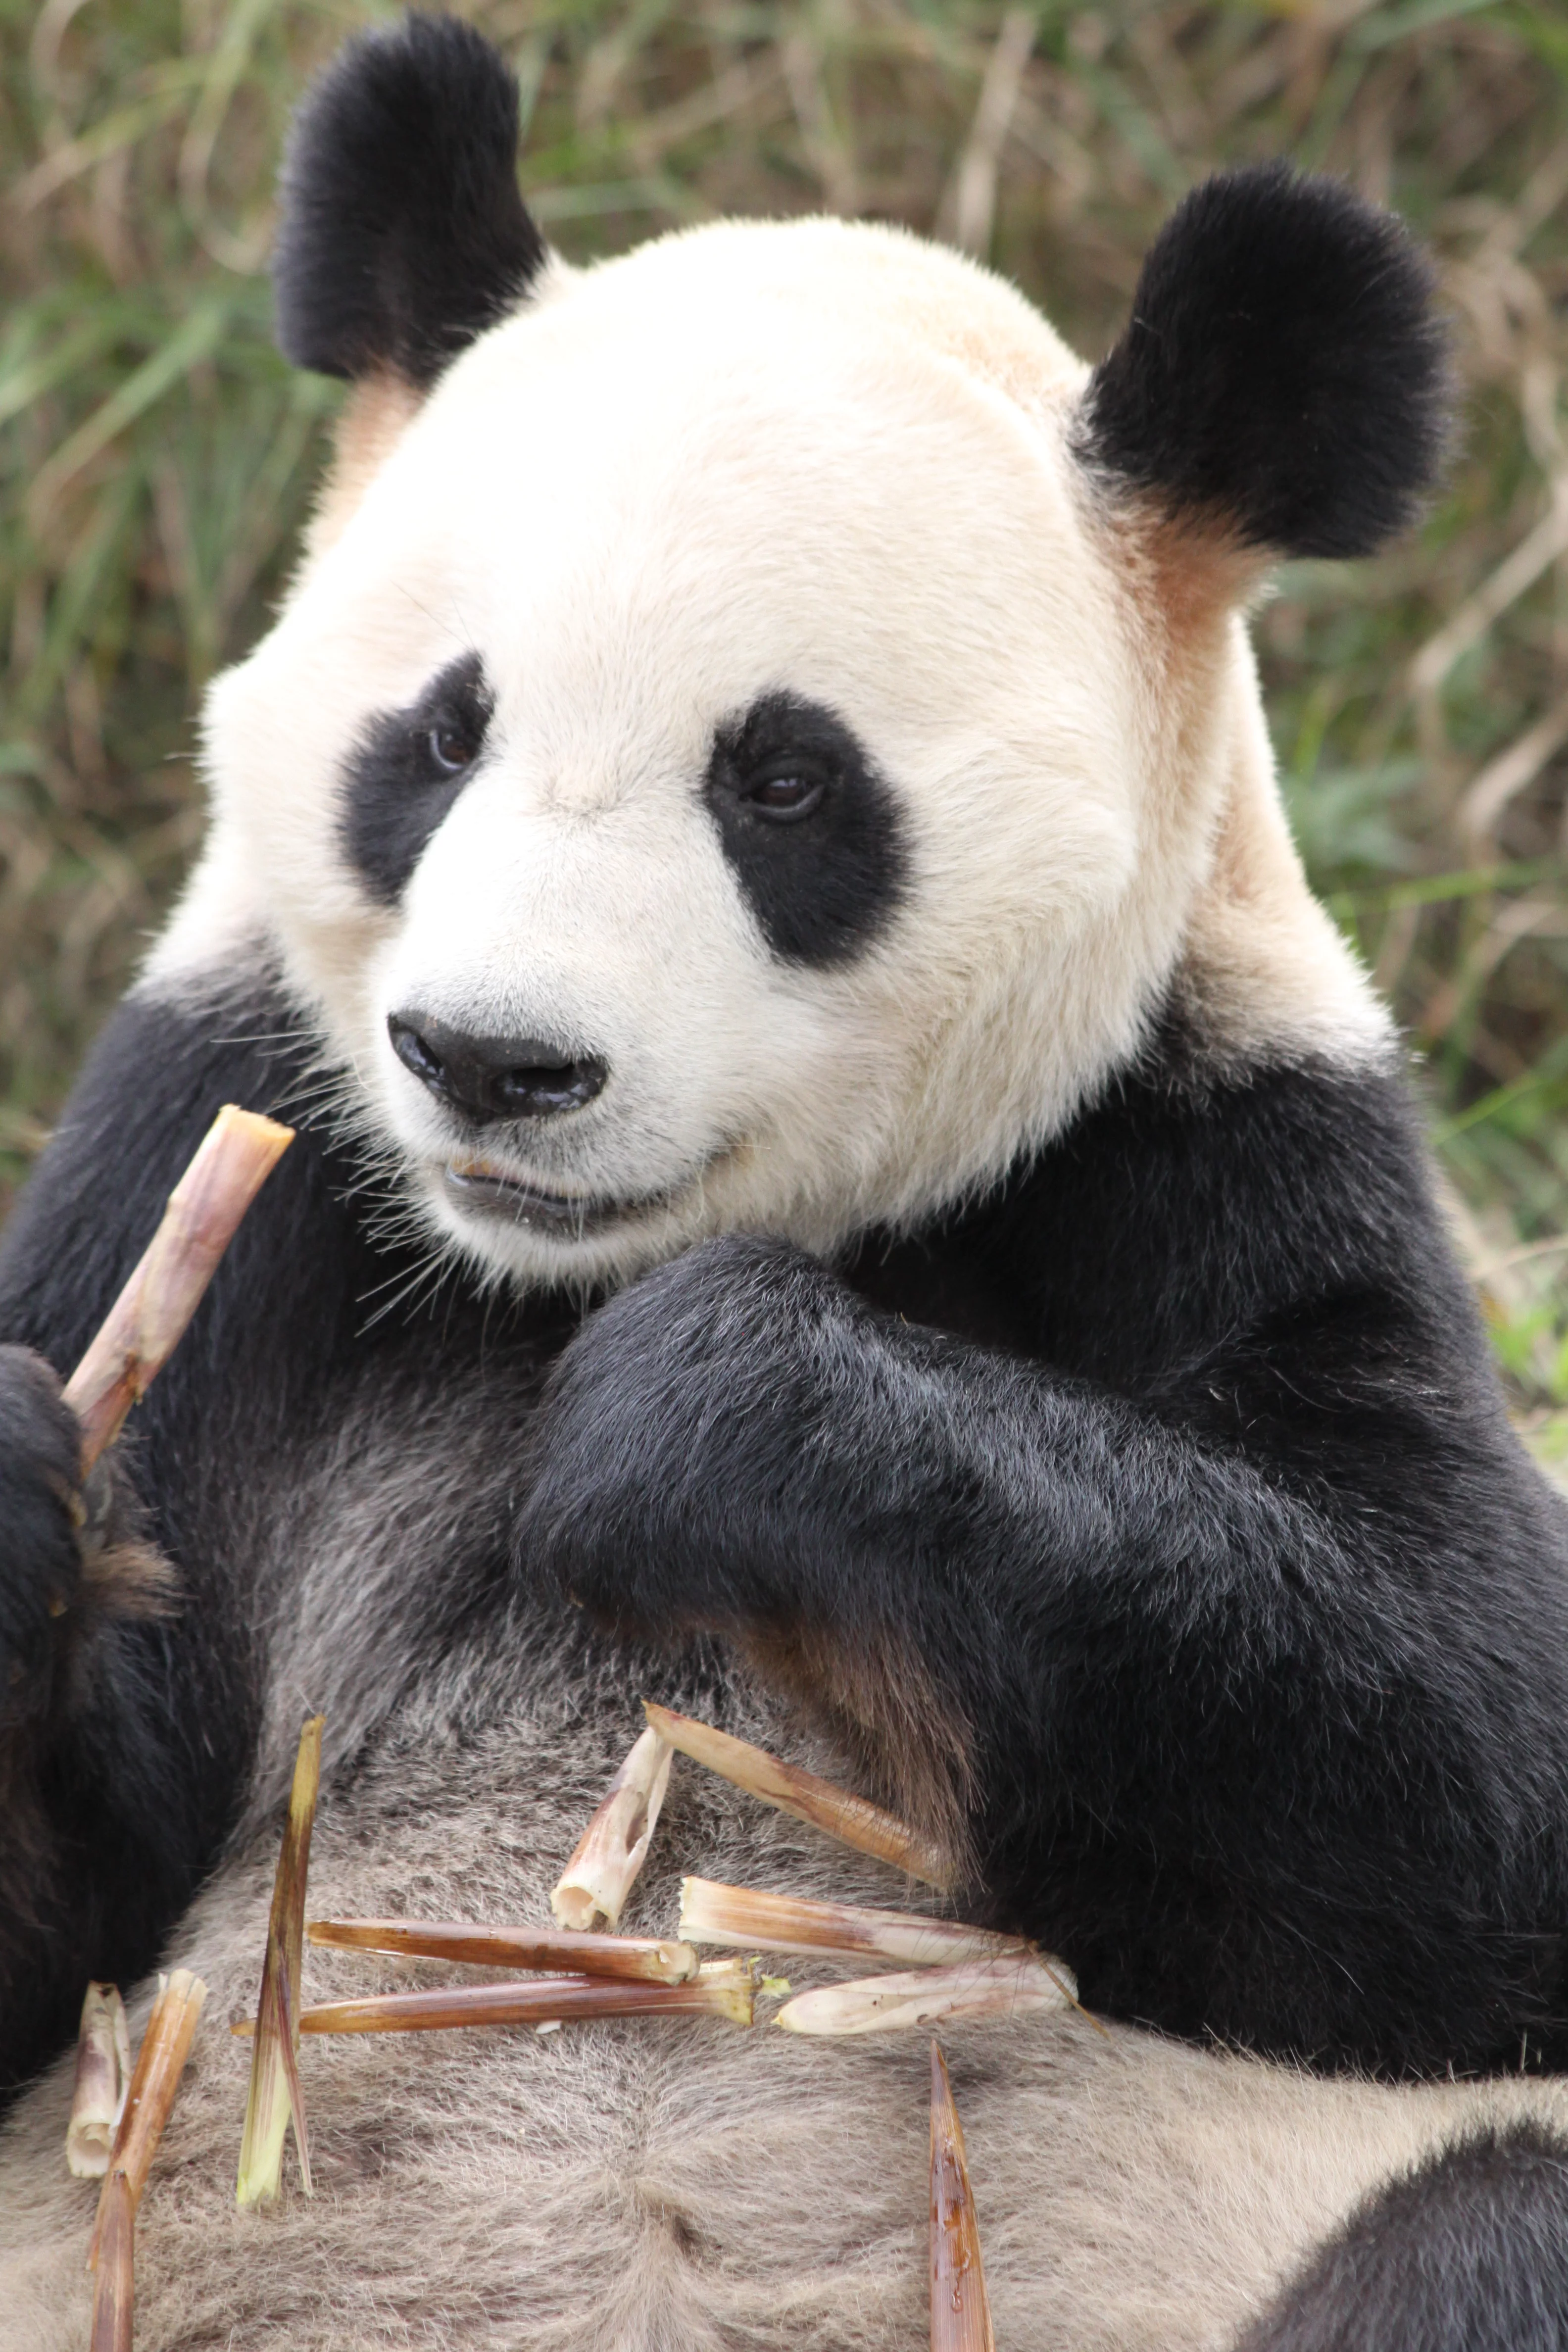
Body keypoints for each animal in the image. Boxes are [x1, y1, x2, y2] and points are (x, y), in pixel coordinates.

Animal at [1, 12, 1568, 2346]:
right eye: (438, 735)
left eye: (785, 782)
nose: (495, 1061)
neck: (536, 1275)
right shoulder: (229, 1149)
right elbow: (66, 1923)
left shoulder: (1217, 1141)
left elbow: (1479, 1773)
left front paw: (704, 1411)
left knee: (1481, 2220)